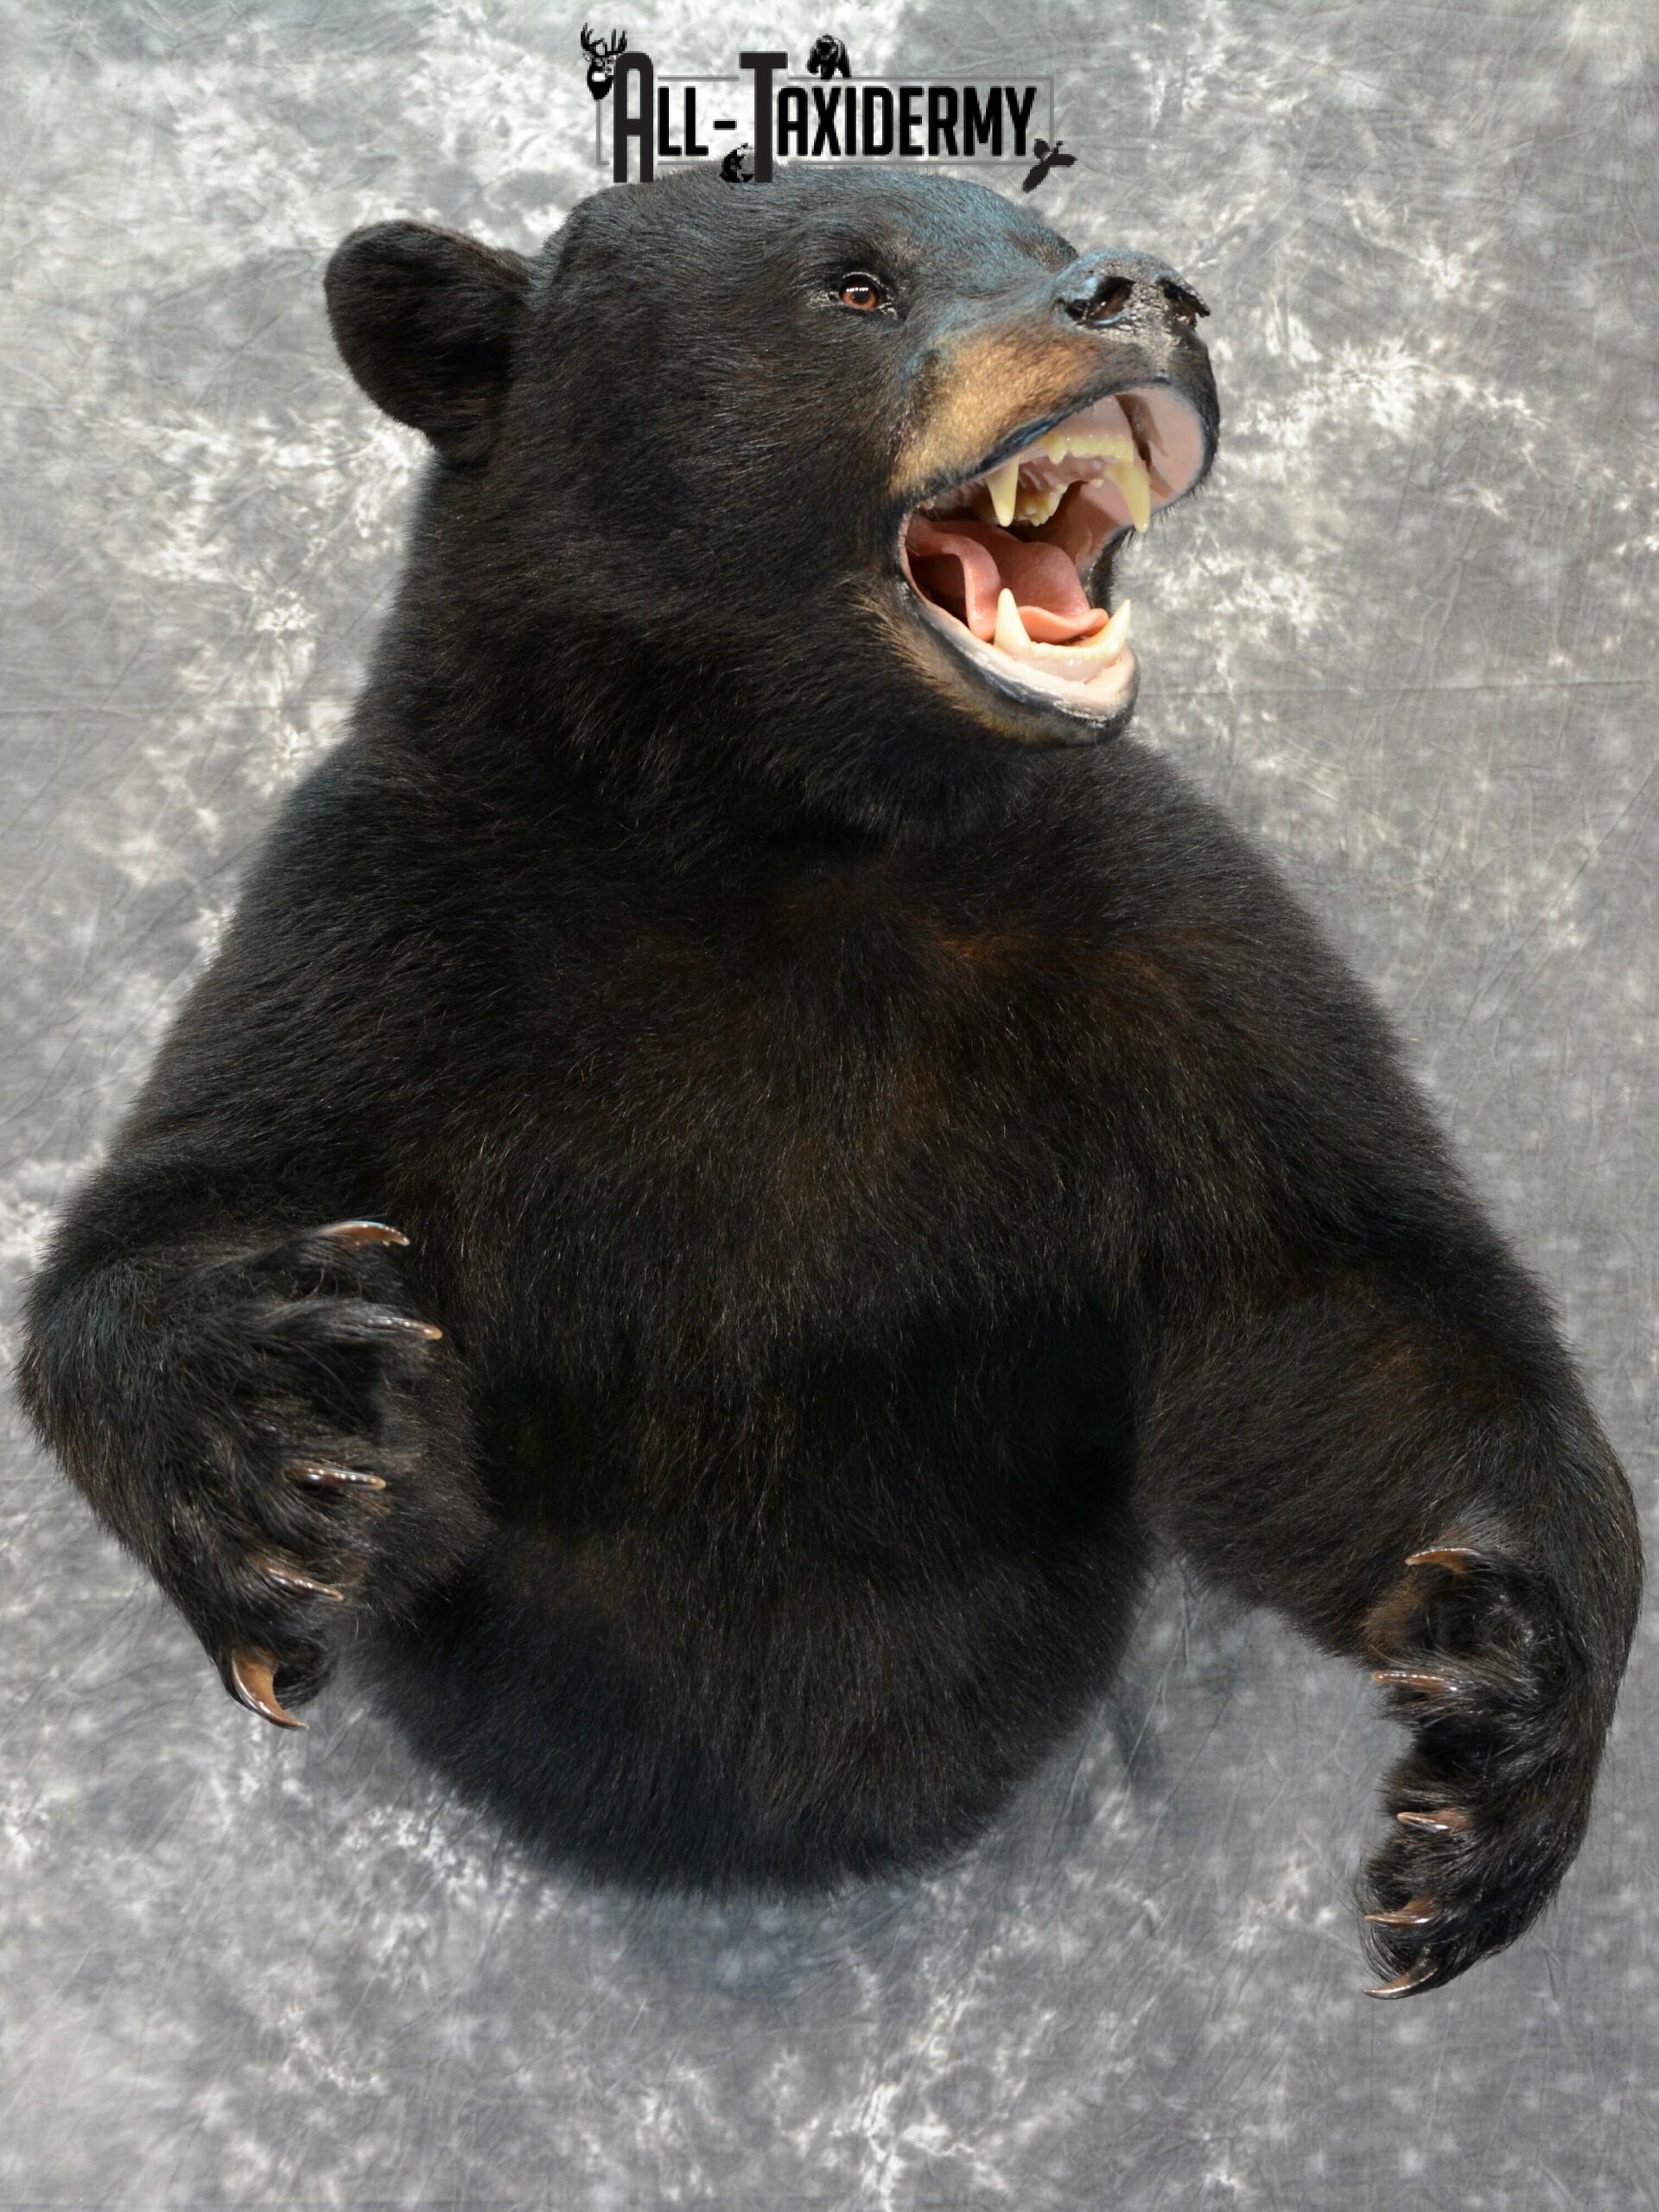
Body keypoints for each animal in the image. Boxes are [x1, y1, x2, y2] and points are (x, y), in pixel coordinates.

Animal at [17, 165, 1640, 1999]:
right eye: (854, 283)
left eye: (1034, 236)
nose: (1144, 292)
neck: (778, 831)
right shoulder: (394, 917)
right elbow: (188, 1199)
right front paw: (285, 1443)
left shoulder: (1159, 945)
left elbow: (1341, 1305)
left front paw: (1500, 1724)